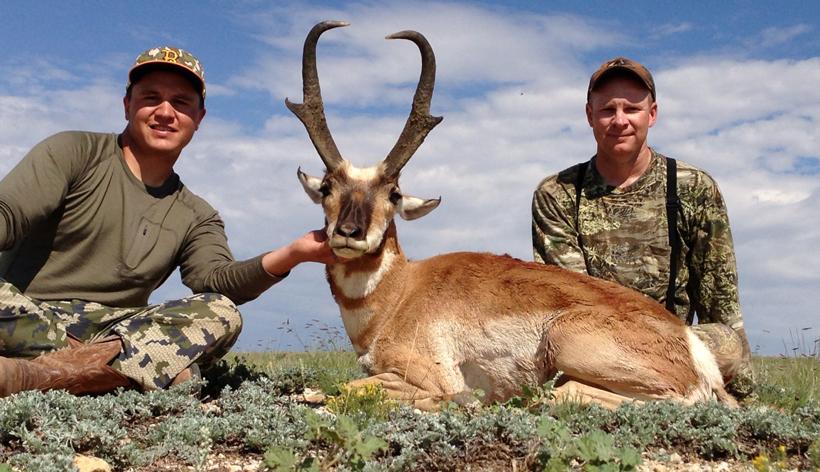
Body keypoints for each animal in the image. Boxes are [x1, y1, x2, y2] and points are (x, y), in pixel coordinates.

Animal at [289, 21, 737, 410]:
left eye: (394, 193)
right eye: (327, 188)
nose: (349, 233)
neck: (401, 291)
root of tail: (690, 344)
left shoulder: (426, 375)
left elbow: (341, 388)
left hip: (566, 338)